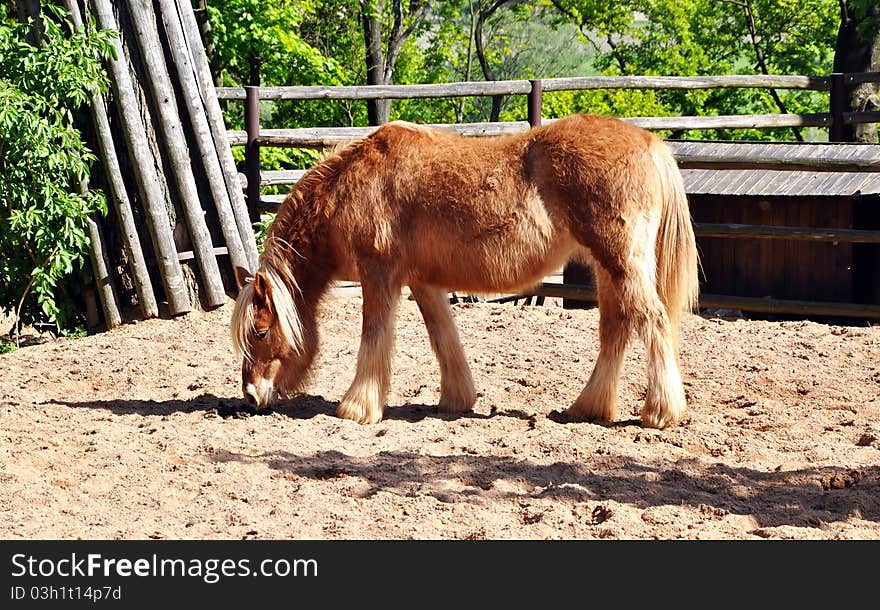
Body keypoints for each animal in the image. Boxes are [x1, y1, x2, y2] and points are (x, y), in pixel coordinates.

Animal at [230, 114, 696, 428]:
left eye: (260, 331)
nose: (250, 396)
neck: (351, 185)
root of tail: (649, 142)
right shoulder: (421, 281)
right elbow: (443, 335)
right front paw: (457, 398)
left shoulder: (379, 274)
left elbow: (374, 337)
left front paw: (357, 407)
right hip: (608, 268)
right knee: (617, 328)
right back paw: (588, 408)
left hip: (621, 264)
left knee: (652, 321)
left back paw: (660, 412)